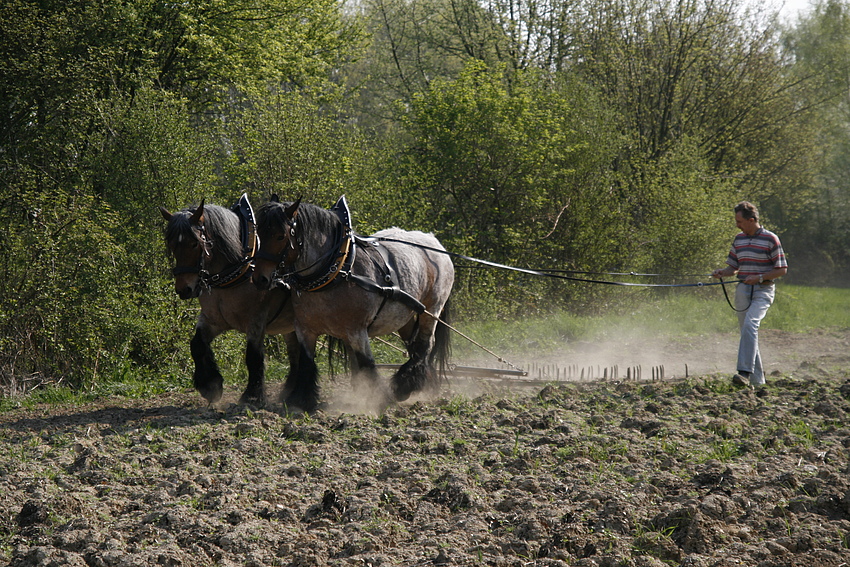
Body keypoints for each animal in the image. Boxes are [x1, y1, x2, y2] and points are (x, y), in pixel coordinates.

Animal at [159, 197, 298, 406]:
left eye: (194, 243)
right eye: (172, 244)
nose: (184, 289)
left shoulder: (257, 321)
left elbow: (253, 356)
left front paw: (252, 395)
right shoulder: (213, 320)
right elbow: (197, 344)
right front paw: (210, 385)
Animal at [250, 196, 450, 412]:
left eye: (280, 236)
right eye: (258, 235)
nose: (260, 279)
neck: (337, 272)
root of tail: (434, 241)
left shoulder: (356, 330)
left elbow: (367, 363)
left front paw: (378, 399)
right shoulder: (305, 329)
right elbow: (307, 362)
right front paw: (300, 400)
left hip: (431, 309)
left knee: (424, 344)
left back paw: (404, 385)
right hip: (405, 315)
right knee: (413, 346)